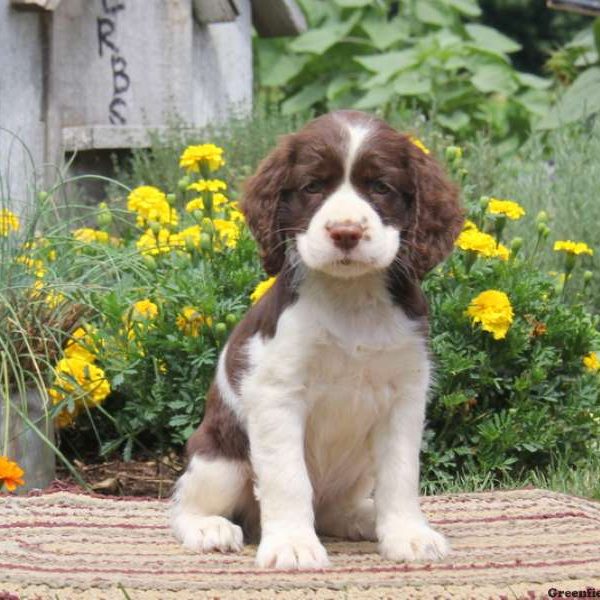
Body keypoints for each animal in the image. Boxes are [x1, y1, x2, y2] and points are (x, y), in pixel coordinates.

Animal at [169, 110, 464, 568]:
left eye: (380, 187)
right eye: (312, 187)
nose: (345, 232)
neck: (351, 297)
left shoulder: (405, 395)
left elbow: (401, 474)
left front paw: (407, 536)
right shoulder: (278, 393)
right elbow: (288, 478)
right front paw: (292, 544)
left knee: (331, 509)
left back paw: (363, 517)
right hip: (221, 457)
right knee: (187, 504)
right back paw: (208, 528)